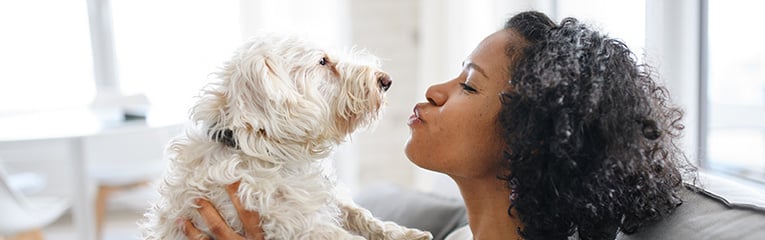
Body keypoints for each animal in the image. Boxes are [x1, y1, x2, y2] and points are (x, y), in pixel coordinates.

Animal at [140, 33, 432, 240]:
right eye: (323, 61)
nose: (386, 80)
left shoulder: (325, 196)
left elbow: (362, 214)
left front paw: (406, 233)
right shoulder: (295, 222)